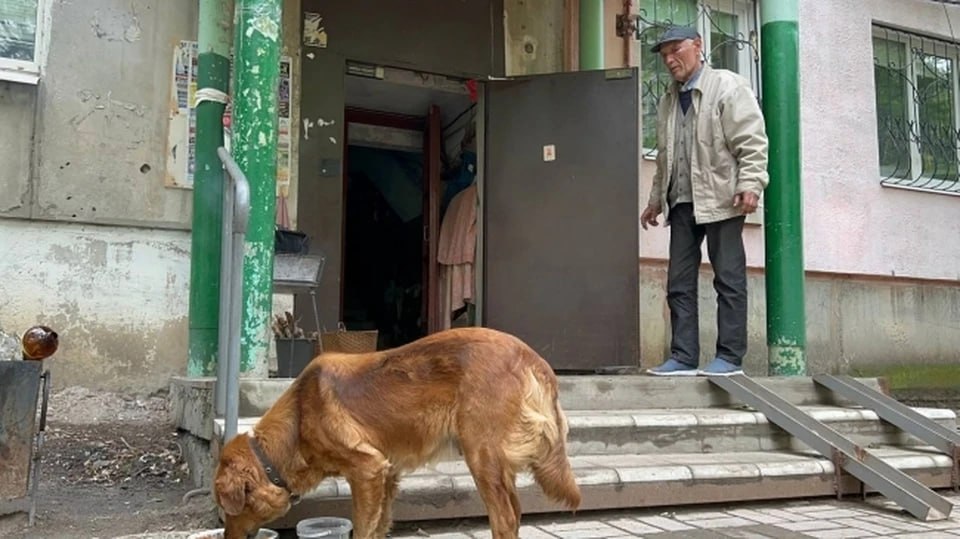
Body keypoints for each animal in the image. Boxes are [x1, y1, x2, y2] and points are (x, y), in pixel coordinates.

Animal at [214, 326, 580, 539]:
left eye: (226, 509)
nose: (228, 538)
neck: (299, 419)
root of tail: (533, 359)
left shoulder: (366, 469)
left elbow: (363, 529)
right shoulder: (386, 475)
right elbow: (378, 526)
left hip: (481, 455)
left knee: (503, 518)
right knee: (514, 514)